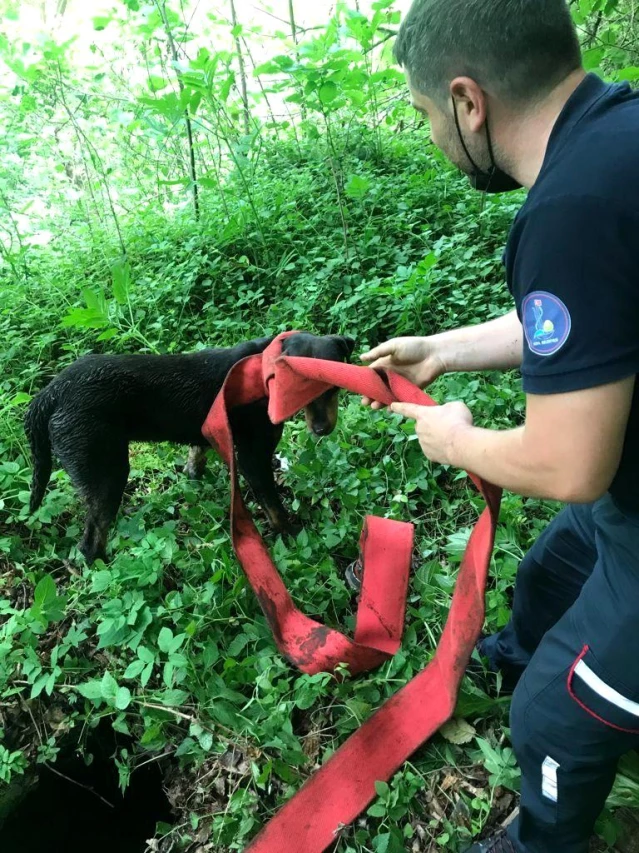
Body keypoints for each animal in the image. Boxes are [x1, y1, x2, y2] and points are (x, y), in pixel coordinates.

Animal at [26, 332, 356, 564]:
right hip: (107, 470)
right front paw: (294, 537)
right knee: (90, 543)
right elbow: (275, 509)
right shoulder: (253, 460)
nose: (322, 429)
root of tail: (48, 394)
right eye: (295, 388)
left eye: (333, 386)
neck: (262, 371)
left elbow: (195, 462)